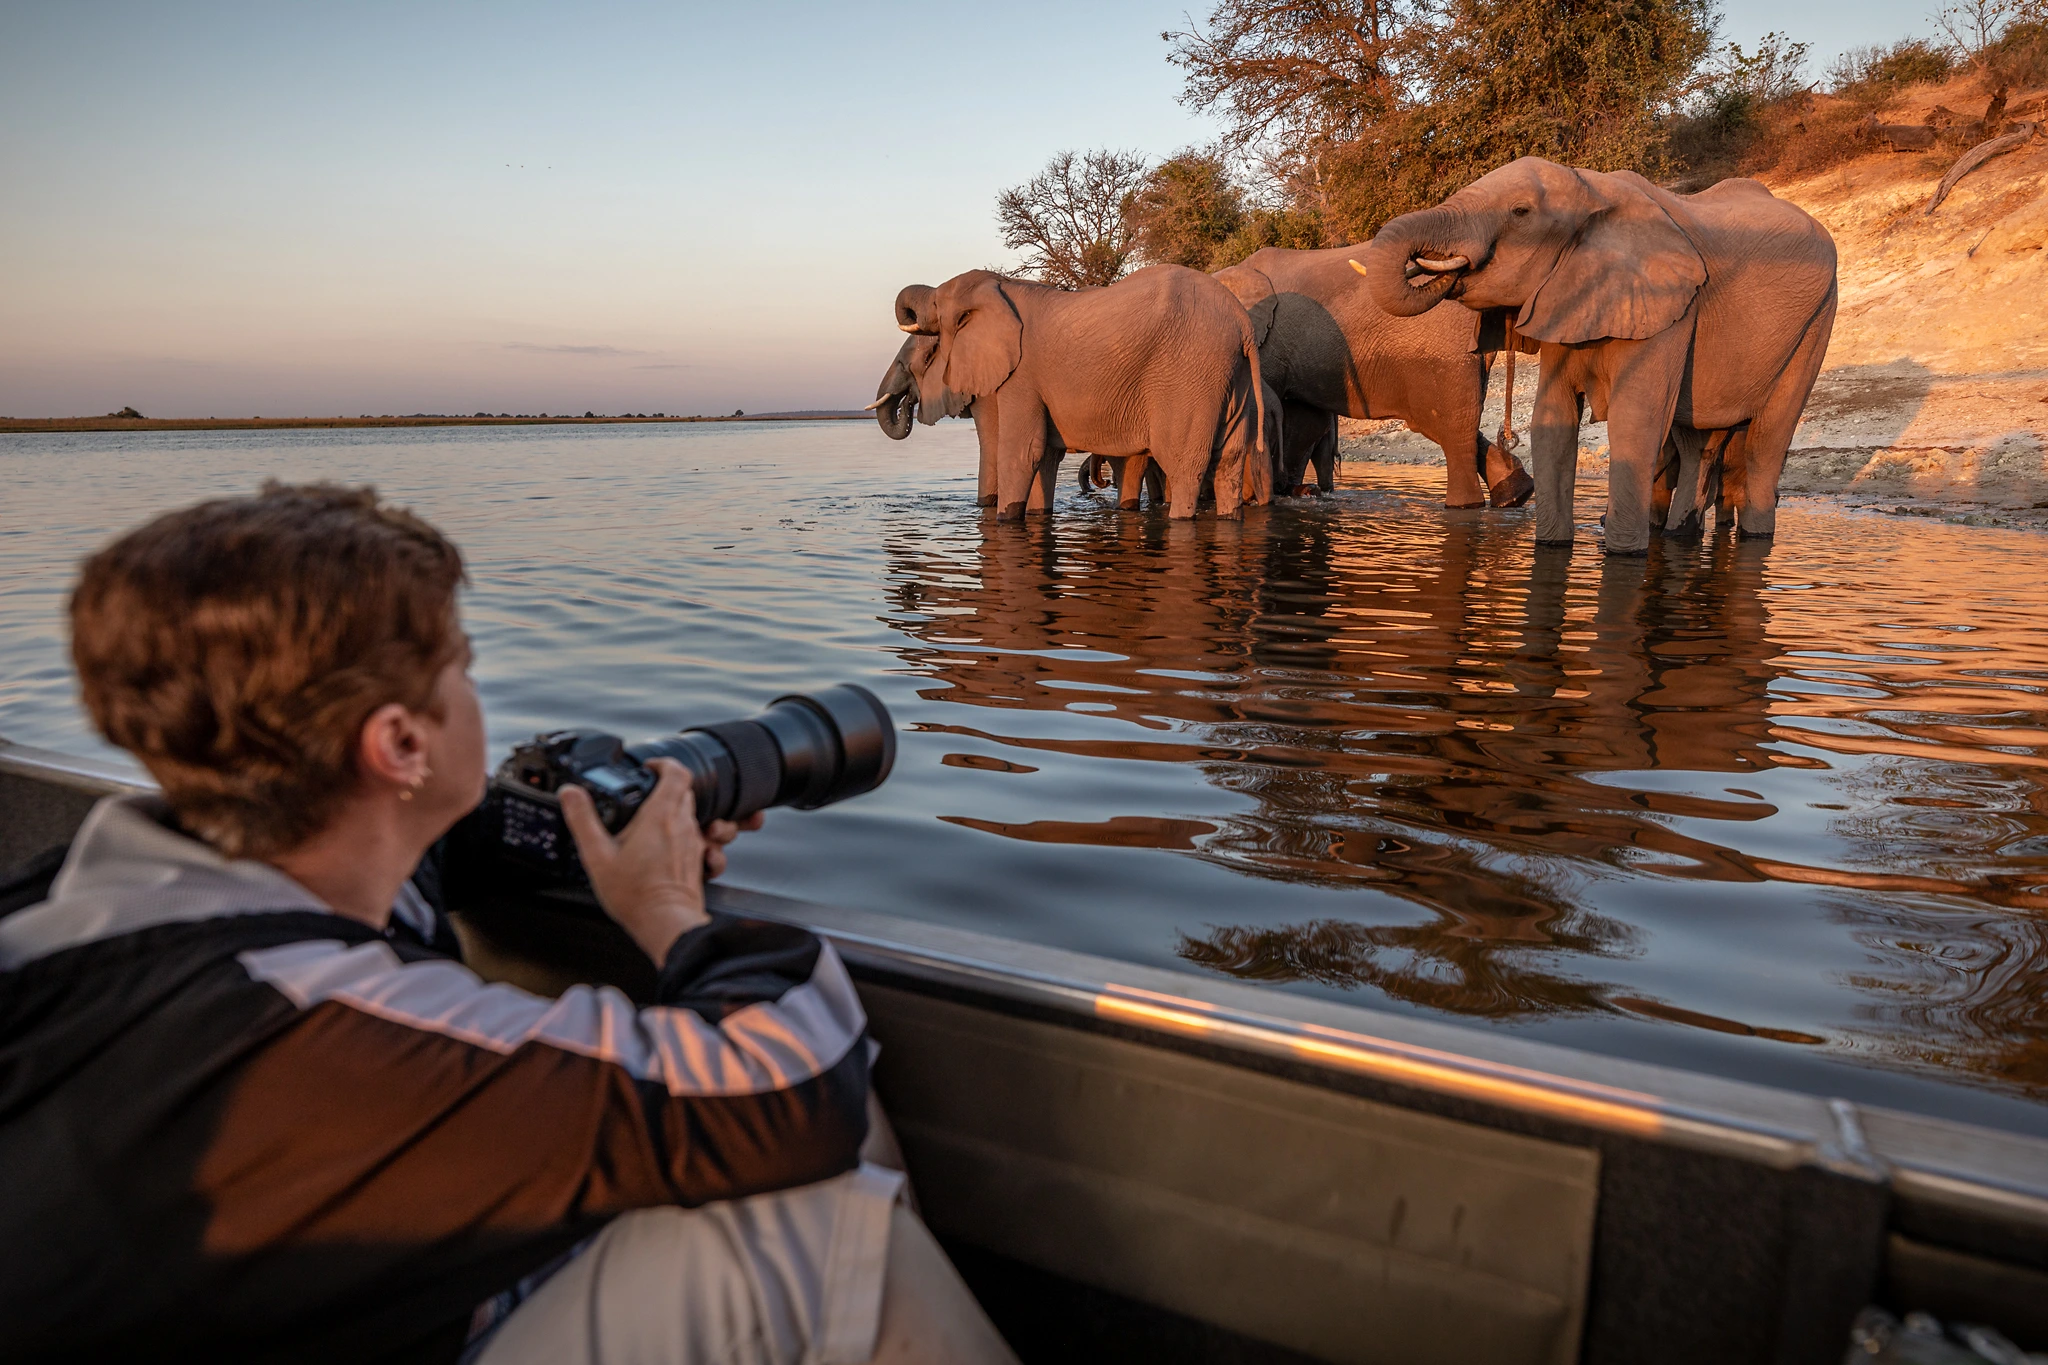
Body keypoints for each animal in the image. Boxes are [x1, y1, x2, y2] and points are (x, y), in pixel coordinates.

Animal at [897, 263, 1261, 519]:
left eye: (935, 302)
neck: (1003, 285)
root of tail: (1243, 324)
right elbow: (1044, 455)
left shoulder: (1021, 375)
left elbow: (1022, 452)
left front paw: (1006, 519)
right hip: (1231, 375)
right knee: (1229, 461)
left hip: (1188, 375)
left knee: (1184, 466)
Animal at [1204, 245, 1531, 507]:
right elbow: (1302, 420)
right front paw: (1291, 491)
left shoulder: (1266, 347)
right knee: (1456, 425)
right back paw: (1515, 495)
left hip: (1446, 358)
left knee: (1450, 432)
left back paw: (1467, 506)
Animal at [1359, 153, 1843, 548]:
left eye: (1520, 212)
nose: (1433, 267)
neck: (1592, 189)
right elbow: (1552, 420)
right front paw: (1554, 546)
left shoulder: (1670, 306)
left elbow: (1637, 421)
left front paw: (1622, 552)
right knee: (1696, 442)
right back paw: (1679, 535)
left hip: (1818, 320)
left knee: (1767, 440)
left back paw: (1752, 536)